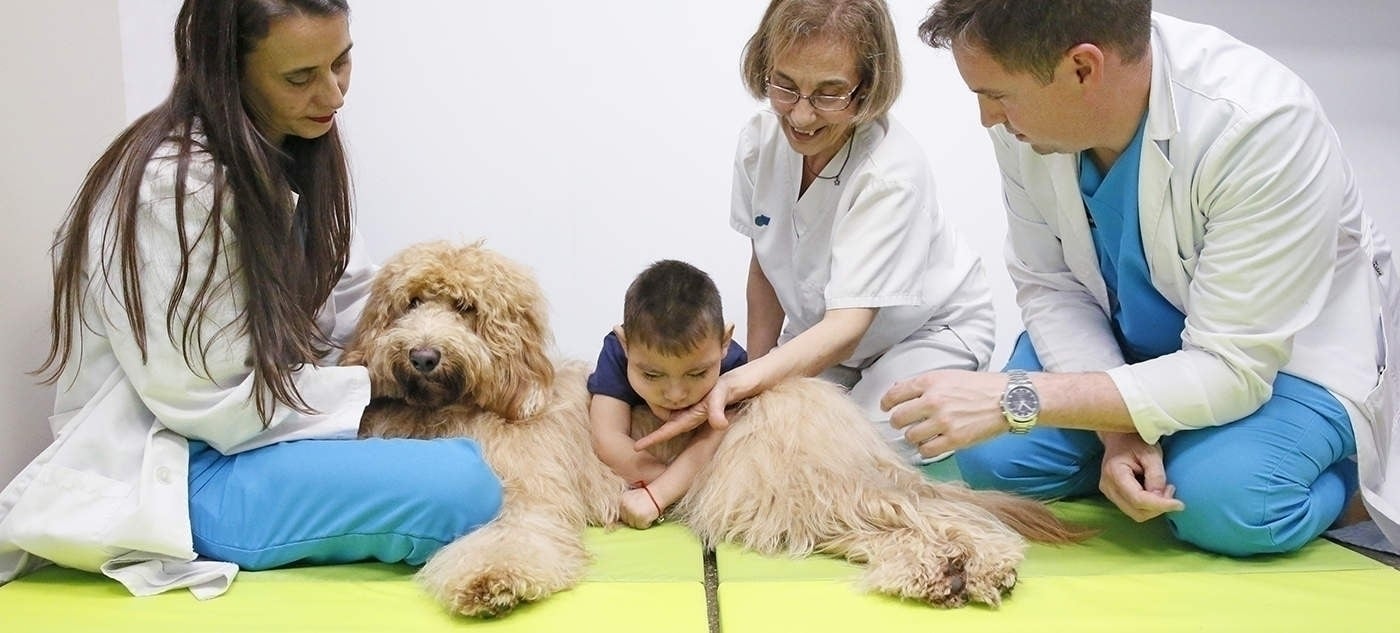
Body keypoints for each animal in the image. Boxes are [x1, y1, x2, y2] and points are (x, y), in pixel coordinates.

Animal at [344, 242, 1086, 618]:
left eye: (466, 309)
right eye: (409, 303)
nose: (422, 355)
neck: (475, 400)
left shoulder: (528, 496)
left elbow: (506, 538)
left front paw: (490, 579)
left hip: (784, 479)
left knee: (925, 511)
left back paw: (974, 562)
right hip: (786, 500)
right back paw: (945, 571)